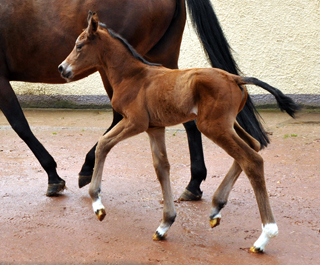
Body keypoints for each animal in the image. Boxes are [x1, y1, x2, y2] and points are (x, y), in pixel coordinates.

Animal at [0, 0, 268, 194]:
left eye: (79, 45)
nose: (61, 68)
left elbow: (20, 125)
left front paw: (53, 177)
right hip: (162, 57)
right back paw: (194, 183)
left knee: (122, 116)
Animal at [58, 12, 298, 252]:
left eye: (79, 45)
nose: (62, 68)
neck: (132, 75)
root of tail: (234, 78)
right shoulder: (154, 128)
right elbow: (161, 167)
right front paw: (164, 225)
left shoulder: (135, 122)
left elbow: (103, 144)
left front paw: (97, 204)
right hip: (227, 124)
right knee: (253, 145)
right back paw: (216, 208)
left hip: (213, 126)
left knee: (252, 160)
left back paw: (264, 236)